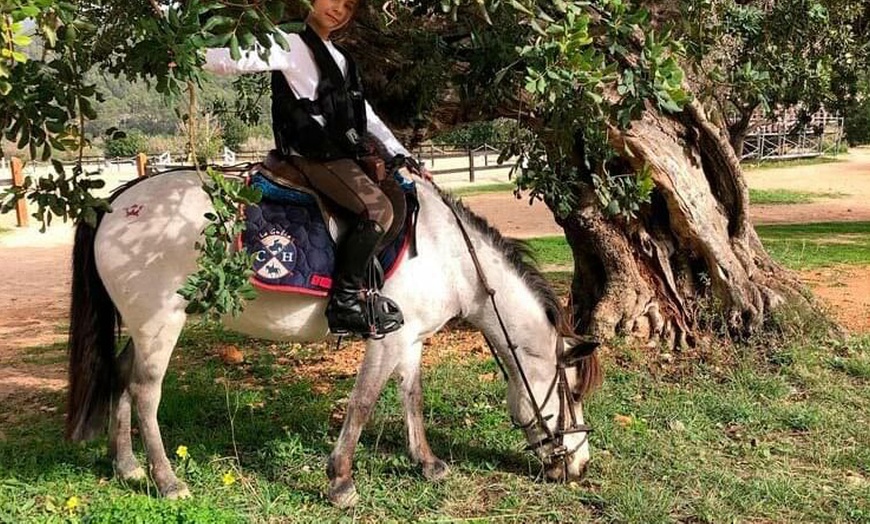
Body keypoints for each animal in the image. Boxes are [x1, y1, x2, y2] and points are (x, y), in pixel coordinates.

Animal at [65, 168, 602, 507]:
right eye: (573, 393)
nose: (578, 467)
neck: (450, 255)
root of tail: (117, 202)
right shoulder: (386, 339)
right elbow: (363, 404)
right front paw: (340, 481)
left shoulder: (411, 339)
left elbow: (412, 397)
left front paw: (427, 463)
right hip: (160, 322)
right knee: (145, 391)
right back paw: (166, 480)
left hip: (142, 325)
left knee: (121, 376)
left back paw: (127, 466)